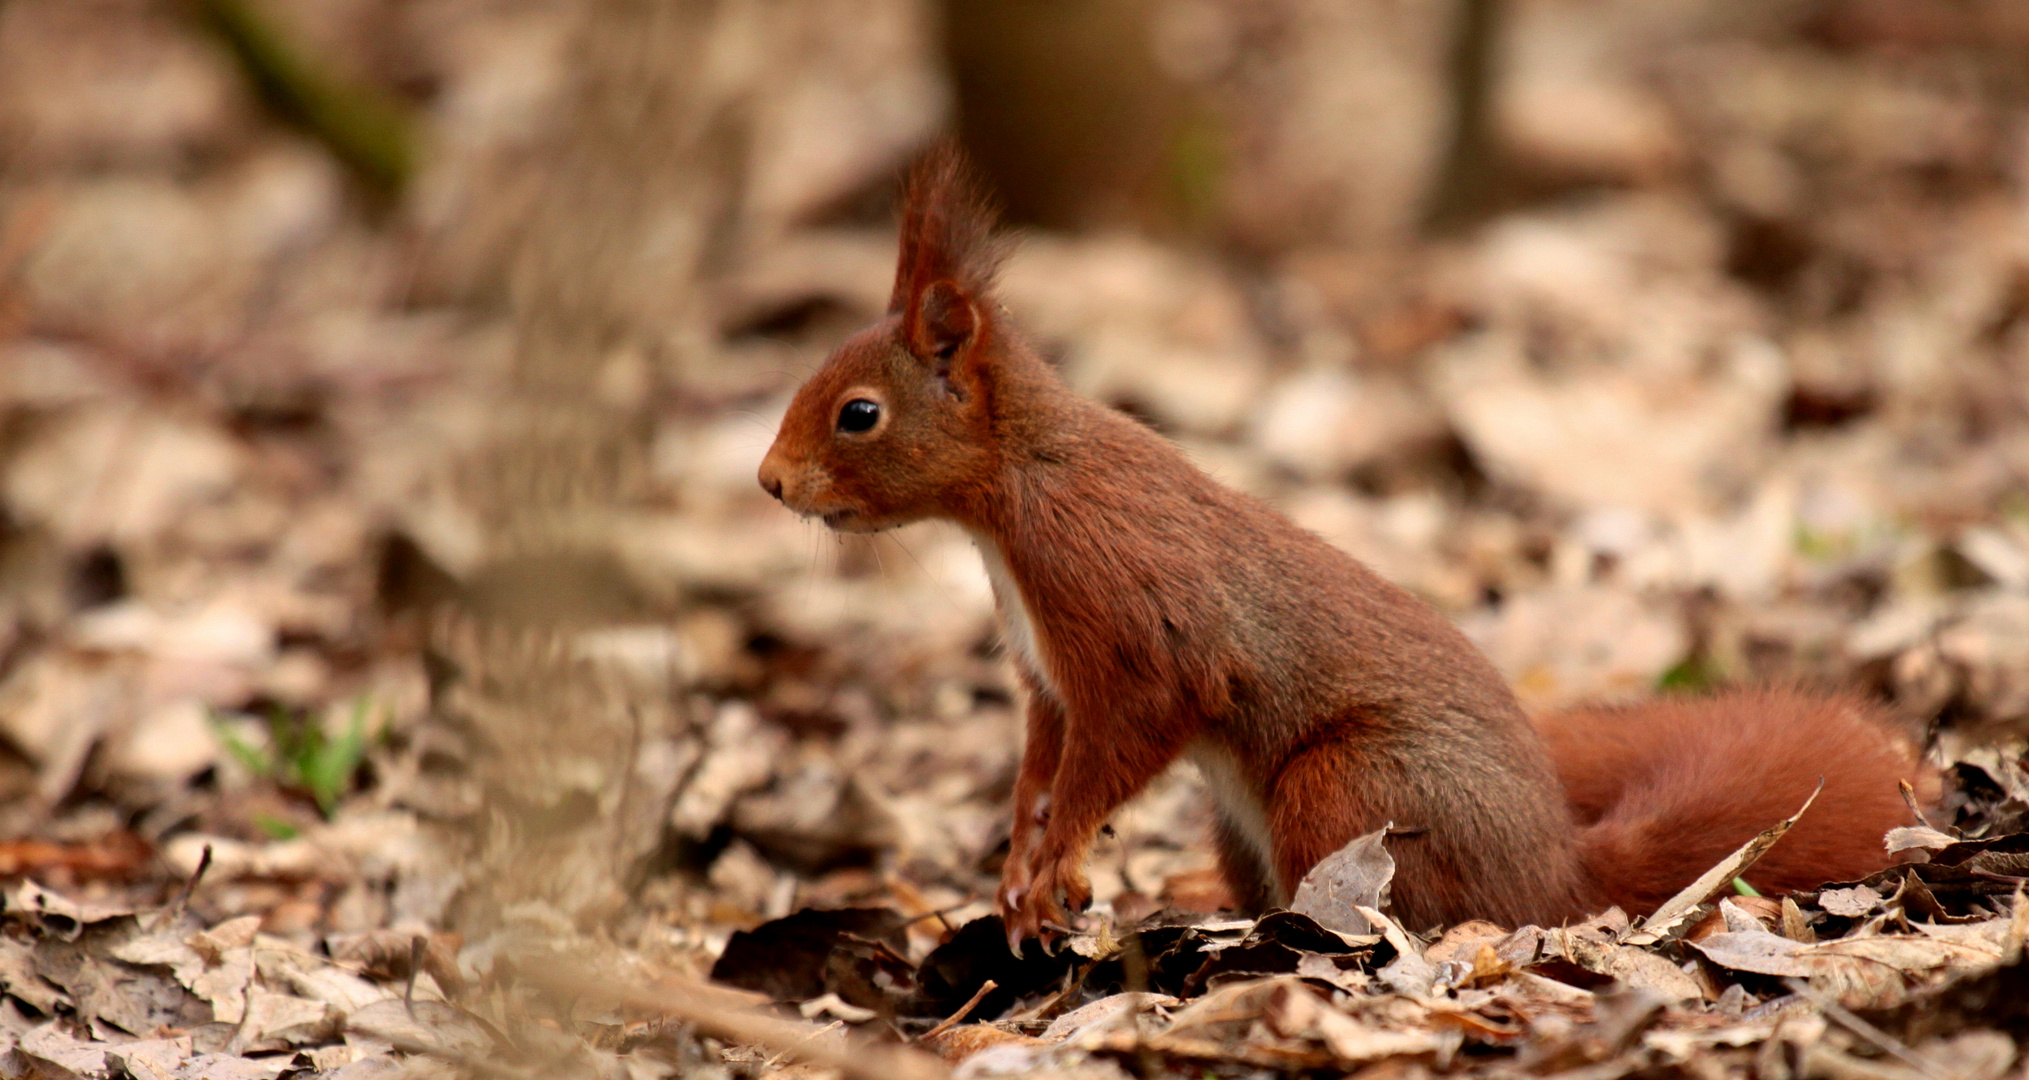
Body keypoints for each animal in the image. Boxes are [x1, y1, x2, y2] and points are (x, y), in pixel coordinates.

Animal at [758, 145, 1931, 946]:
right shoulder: (1047, 676)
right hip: (1244, 820)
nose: (768, 482)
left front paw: (1056, 867)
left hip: (1353, 790)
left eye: (858, 415)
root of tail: (1555, 876)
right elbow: (1041, 766)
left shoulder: (1127, 622)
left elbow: (1116, 747)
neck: (1013, 497)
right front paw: (1016, 867)